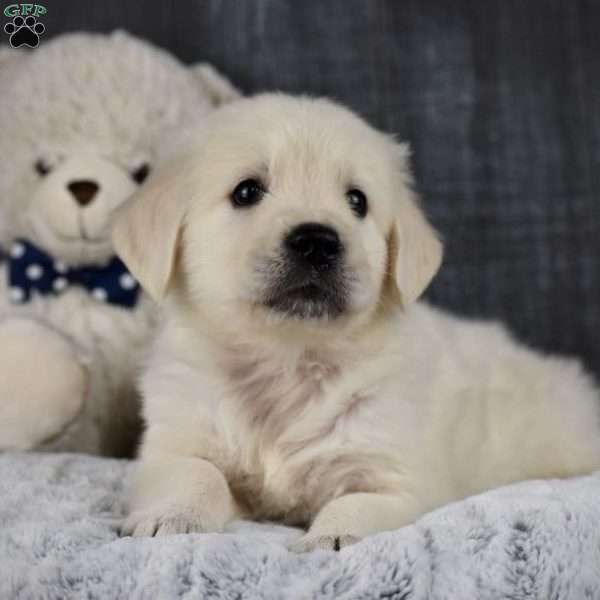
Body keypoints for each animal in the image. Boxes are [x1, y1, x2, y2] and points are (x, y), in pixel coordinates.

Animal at [111, 95, 600, 552]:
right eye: (246, 192)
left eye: (357, 202)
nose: (317, 241)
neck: (287, 359)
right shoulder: (173, 444)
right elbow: (197, 473)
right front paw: (173, 515)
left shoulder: (396, 477)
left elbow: (356, 503)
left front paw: (334, 535)